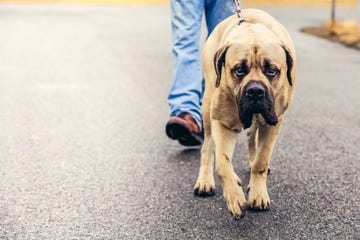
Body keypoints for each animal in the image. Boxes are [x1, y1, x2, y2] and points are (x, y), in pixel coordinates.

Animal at [193, 8, 296, 219]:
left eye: (271, 70)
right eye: (239, 70)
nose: (255, 91)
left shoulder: (273, 122)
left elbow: (261, 161)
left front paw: (258, 194)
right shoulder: (222, 121)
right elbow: (222, 163)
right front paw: (234, 196)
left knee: (251, 138)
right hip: (208, 107)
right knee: (208, 147)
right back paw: (206, 181)